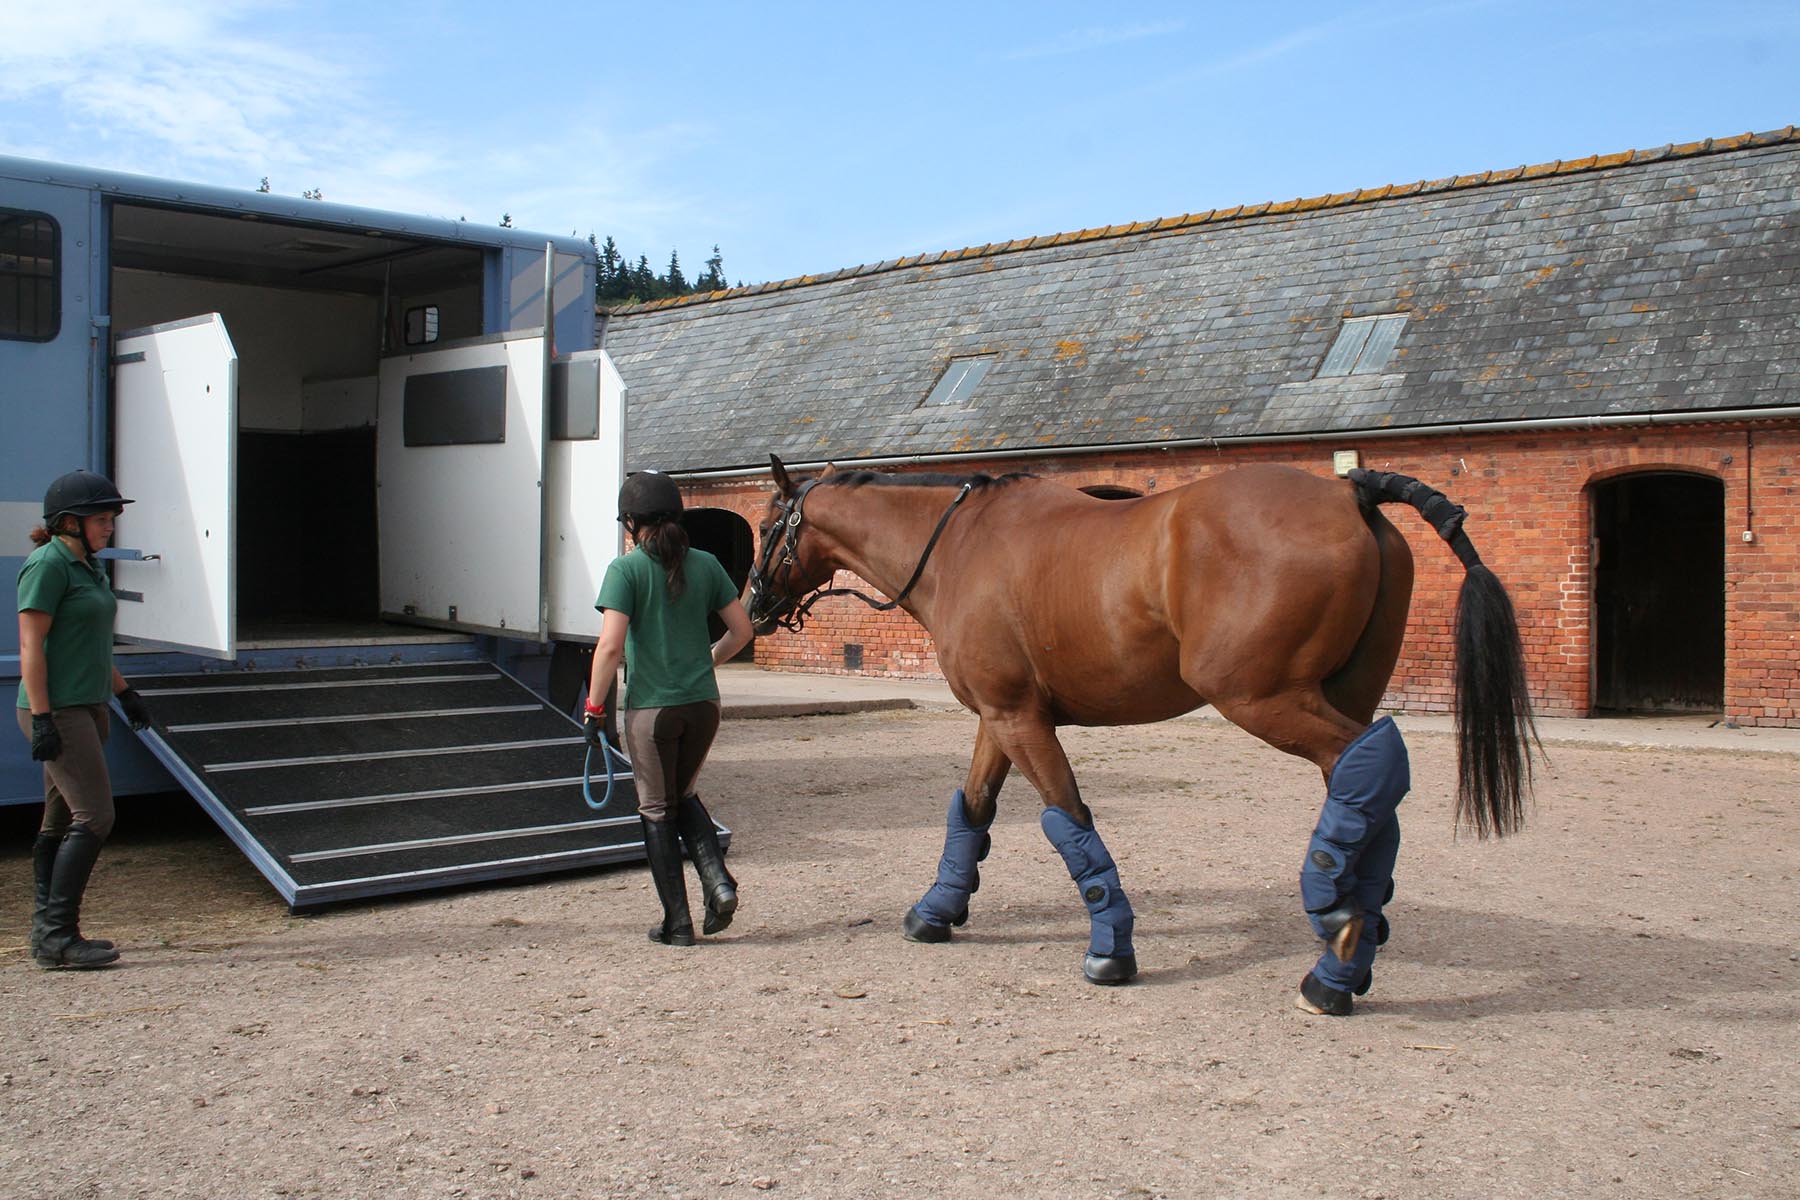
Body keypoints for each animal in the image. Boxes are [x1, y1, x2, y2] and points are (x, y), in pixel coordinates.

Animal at [746, 455, 1536, 1015]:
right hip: (1334, 695)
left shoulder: (1018, 718)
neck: (959, 546)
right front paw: (937, 910)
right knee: (1369, 784)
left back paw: (1334, 917)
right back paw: (1347, 952)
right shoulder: (1001, 718)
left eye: (765, 527)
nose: (753, 606)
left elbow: (1068, 821)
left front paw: (1111, 948)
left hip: (1262, 698)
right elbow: (972, 811)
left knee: (1374, 762)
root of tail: (1351, 495)